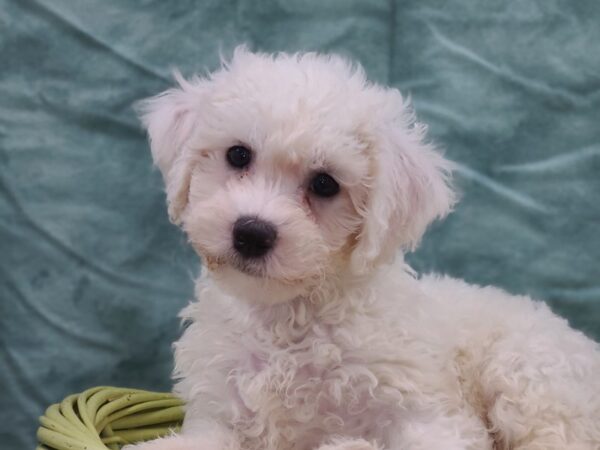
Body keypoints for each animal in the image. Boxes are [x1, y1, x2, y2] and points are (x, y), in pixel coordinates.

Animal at [127, 49, 600, 450]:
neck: (289, 318)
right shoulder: (219, 413)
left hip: (527, 374)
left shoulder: (432, 417)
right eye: (238, 155)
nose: (252, 233)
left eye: (325, 184)